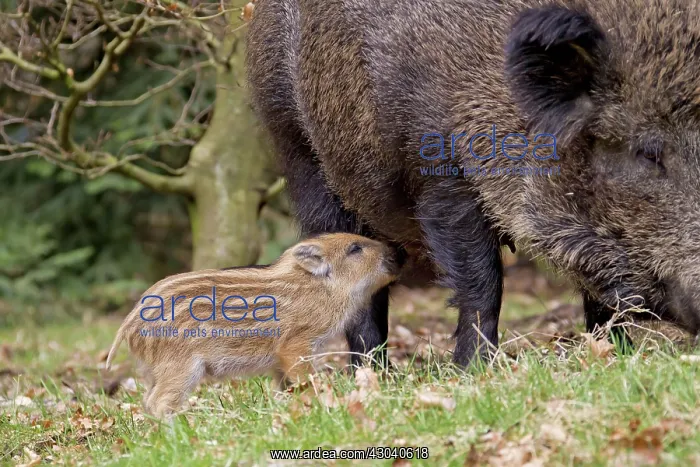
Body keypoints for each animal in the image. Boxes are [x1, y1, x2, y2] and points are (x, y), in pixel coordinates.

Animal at [106, 233, 398, 417]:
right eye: (355, 249)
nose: (395, 250)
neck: (322, 289)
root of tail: (129, 325)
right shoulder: (296, 344)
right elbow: (304, 378)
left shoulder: (279, 362)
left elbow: (285, 386)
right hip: (180, 365)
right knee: (158, 402)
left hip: (153, 370)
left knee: (147, 401)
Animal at [245, 0, 700, 367]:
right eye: (647, 151)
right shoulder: (442, 176)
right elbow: (481, 280)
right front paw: (475, 369)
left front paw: (616, 356)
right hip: (298, 148)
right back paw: (374, 376)